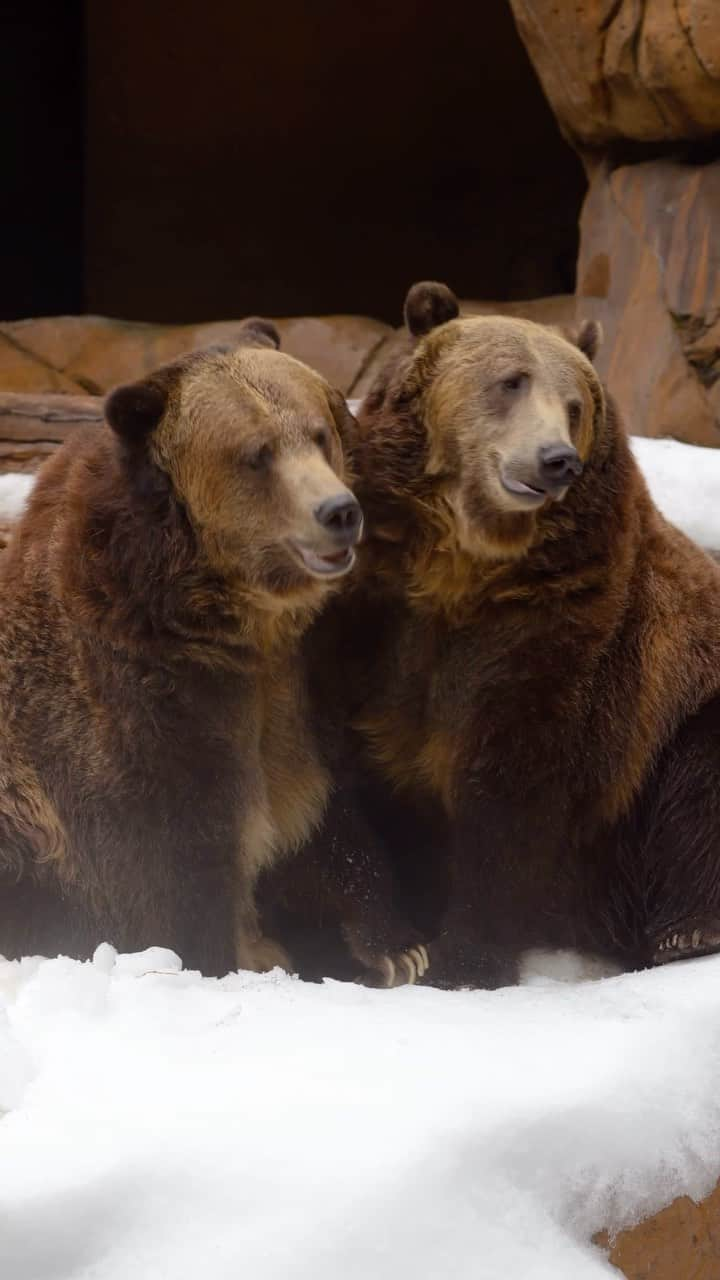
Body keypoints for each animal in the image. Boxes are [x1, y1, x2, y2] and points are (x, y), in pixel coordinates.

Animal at [0, 322, 361, 977]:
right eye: (258, 453)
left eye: (319, 433)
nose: (338, 512)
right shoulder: (140, 701)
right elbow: (175, 863)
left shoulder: (299, 683)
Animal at [286, 285, 720, 993]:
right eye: (510, 381)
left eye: (575, 404)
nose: (556, 459)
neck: (462, 566)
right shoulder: (366, 621)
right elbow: (327, 773)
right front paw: (391, 946)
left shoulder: (564, 632)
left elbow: (512, 790)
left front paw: (463, 961)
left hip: (678, 731)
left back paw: (689, 931)